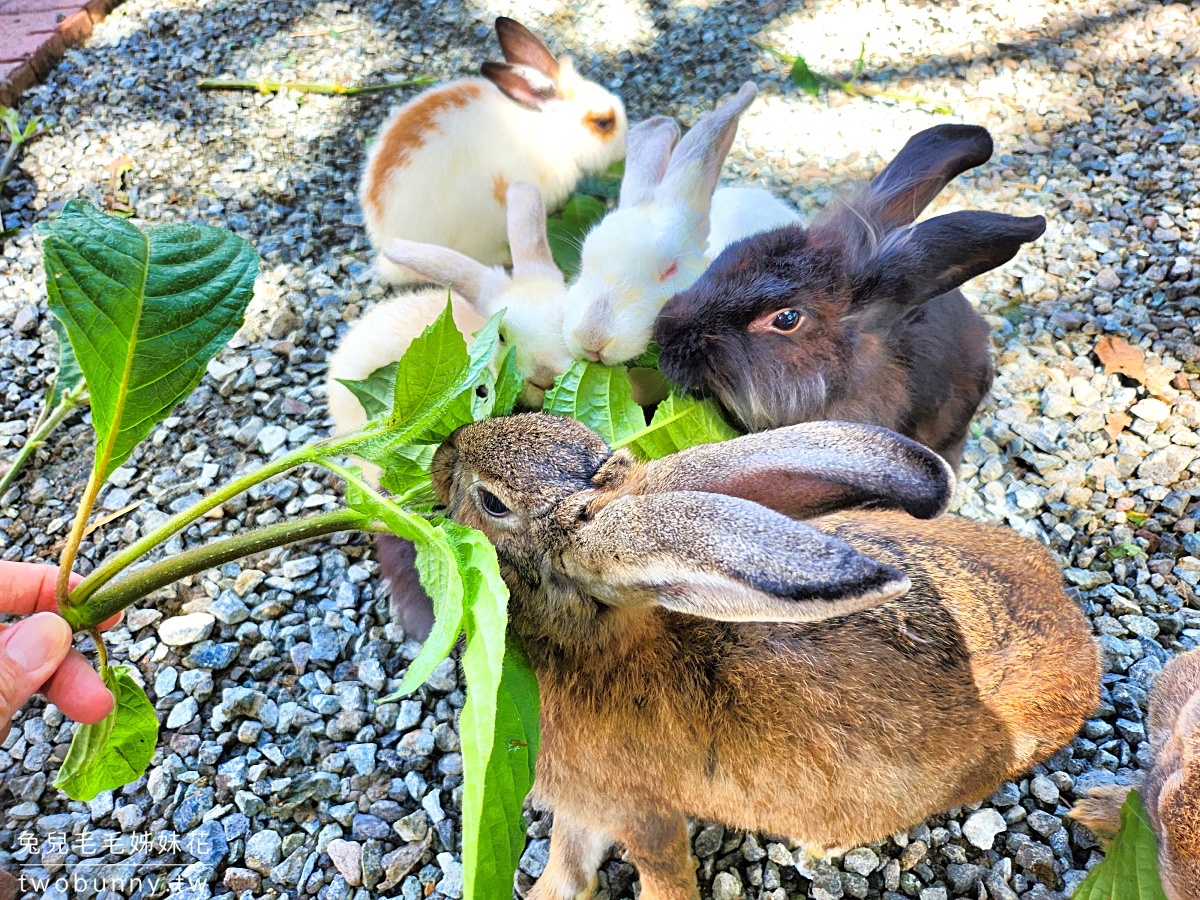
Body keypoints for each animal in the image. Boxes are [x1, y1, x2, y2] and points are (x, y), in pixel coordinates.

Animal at [429, 415, 1099, 900]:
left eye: (492, 503)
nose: (443, 450)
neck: (588, 649)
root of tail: (1085, 652)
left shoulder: (637, 813)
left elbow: (649, 871)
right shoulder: (583, 809)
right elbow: (569, 865)